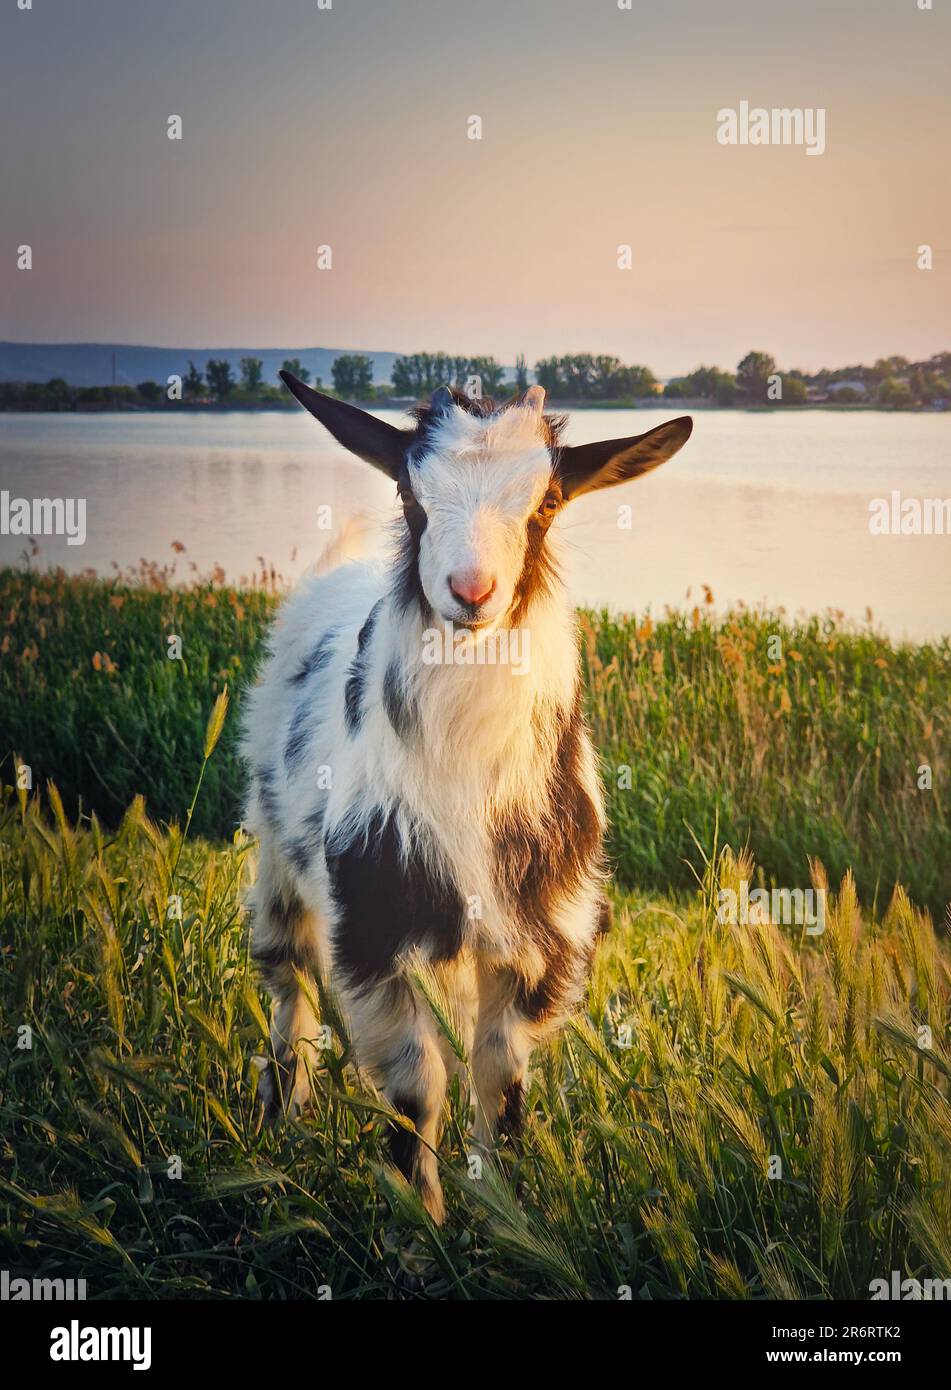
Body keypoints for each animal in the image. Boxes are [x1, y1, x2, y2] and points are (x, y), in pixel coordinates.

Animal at [241, 375, 695, 1223]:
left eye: (547, 500)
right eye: (409, 494)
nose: (470, 590)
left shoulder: (543, 940)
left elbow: (498, 1077)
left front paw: (502, 1212)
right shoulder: (371, 926)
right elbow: (416, 1084)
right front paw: (420, 1226)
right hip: (276, 857)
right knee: (289, 988)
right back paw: (281, 1122)